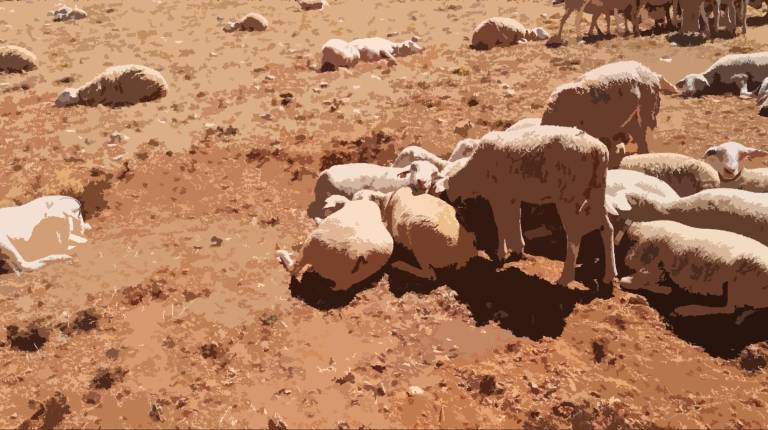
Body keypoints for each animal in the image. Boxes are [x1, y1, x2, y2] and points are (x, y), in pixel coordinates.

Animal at [435, 125, 617, 287]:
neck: (472, 174)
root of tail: (598, 150)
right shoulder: (512, 197)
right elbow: (515, 219)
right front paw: (517, 249)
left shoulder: (498, 195)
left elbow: (501, 223)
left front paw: (501, 254)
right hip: (597, 190)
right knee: (607, 228)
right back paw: (609, 275)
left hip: (569, 196)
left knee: (575, 234)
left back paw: (565, 278)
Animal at [620, 220, 768, 320]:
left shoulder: (649, 265)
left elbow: (627, 281)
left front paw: (665, 289)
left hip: (738, 283)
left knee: (729, 309)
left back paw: (685, 310)